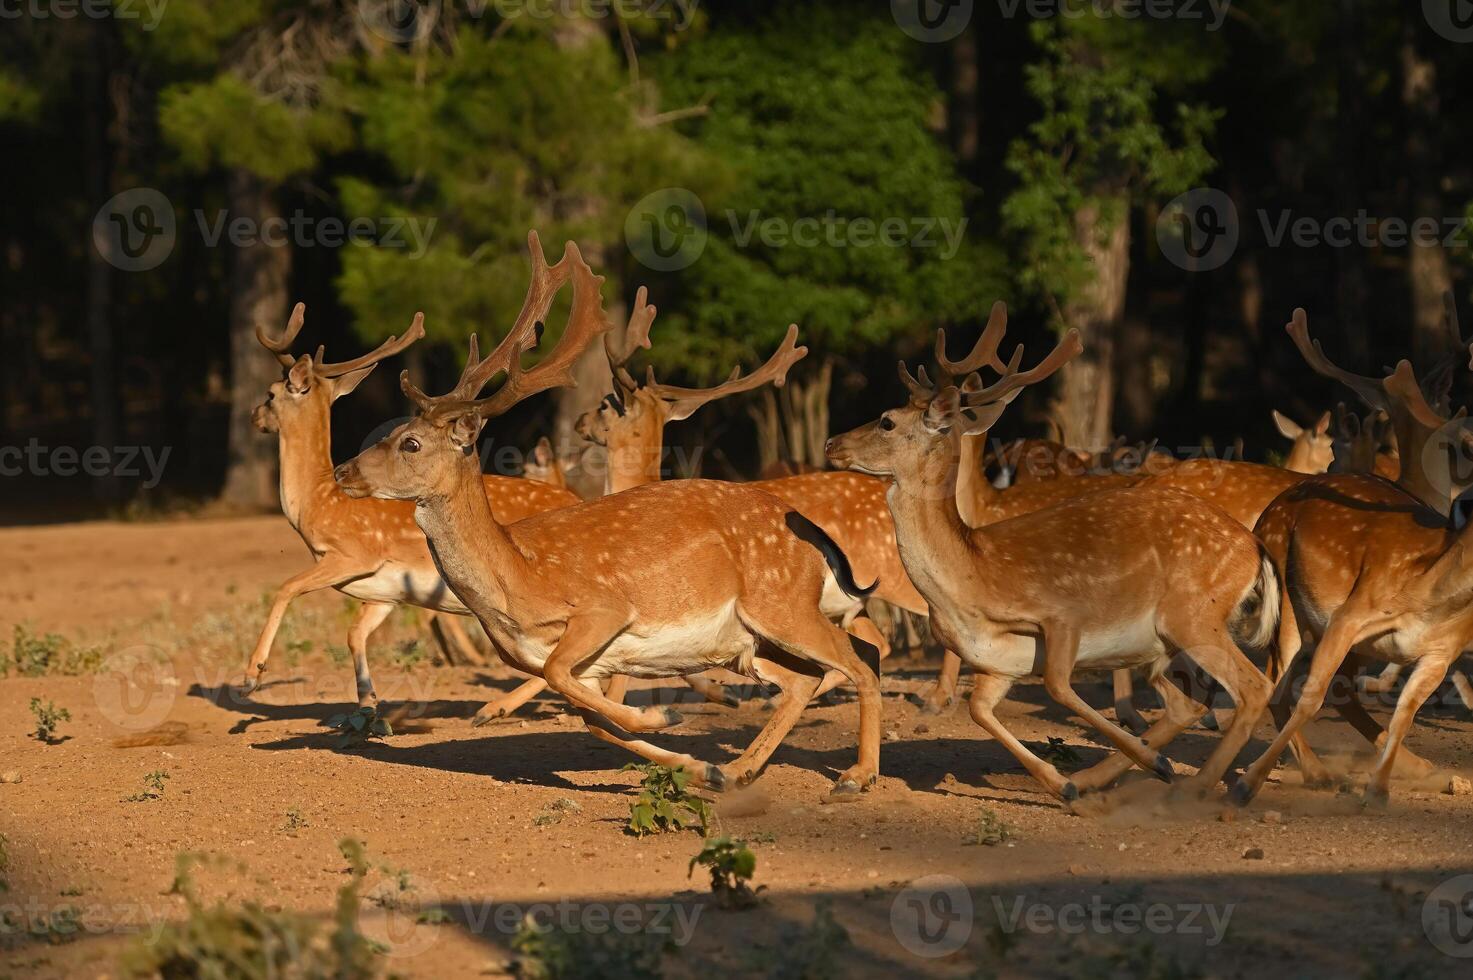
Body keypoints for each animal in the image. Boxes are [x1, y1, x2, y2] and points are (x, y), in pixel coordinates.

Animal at [241, 306, 574, 704]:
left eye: (271, 393)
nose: (254, 416)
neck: (318, 502)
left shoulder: (355, 553)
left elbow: (286, 587)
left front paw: (252, 675)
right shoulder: (384, 592)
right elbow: (355, 633)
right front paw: (369, 703)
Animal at [337, 235, 883, 795]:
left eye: (410, 442)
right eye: (393, 432)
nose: (342, 471)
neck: (514, 580)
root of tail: (813, 534)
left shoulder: (602, 609)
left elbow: (563, 676)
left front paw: (664, 718)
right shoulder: (586, 665)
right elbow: (596, 721)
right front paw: (696, 764)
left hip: (783, 602)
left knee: (860, 660)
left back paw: (856, 776)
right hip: (750, 640)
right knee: (805, 679)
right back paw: (738, 769)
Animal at [830, 313, 1278, 801]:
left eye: (887, 422)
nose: (832, 442)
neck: (970, 579)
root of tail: (1255, 549)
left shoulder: (1062, 613)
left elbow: (1058, 686)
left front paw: (1147, 763)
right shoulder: (999, 660)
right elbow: (978, 709)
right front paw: (1064, 784)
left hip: (1192, 616)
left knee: (1254, 686)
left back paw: (1196, 785)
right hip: (1169, 640)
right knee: (1189, 703)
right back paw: (1102, 778)